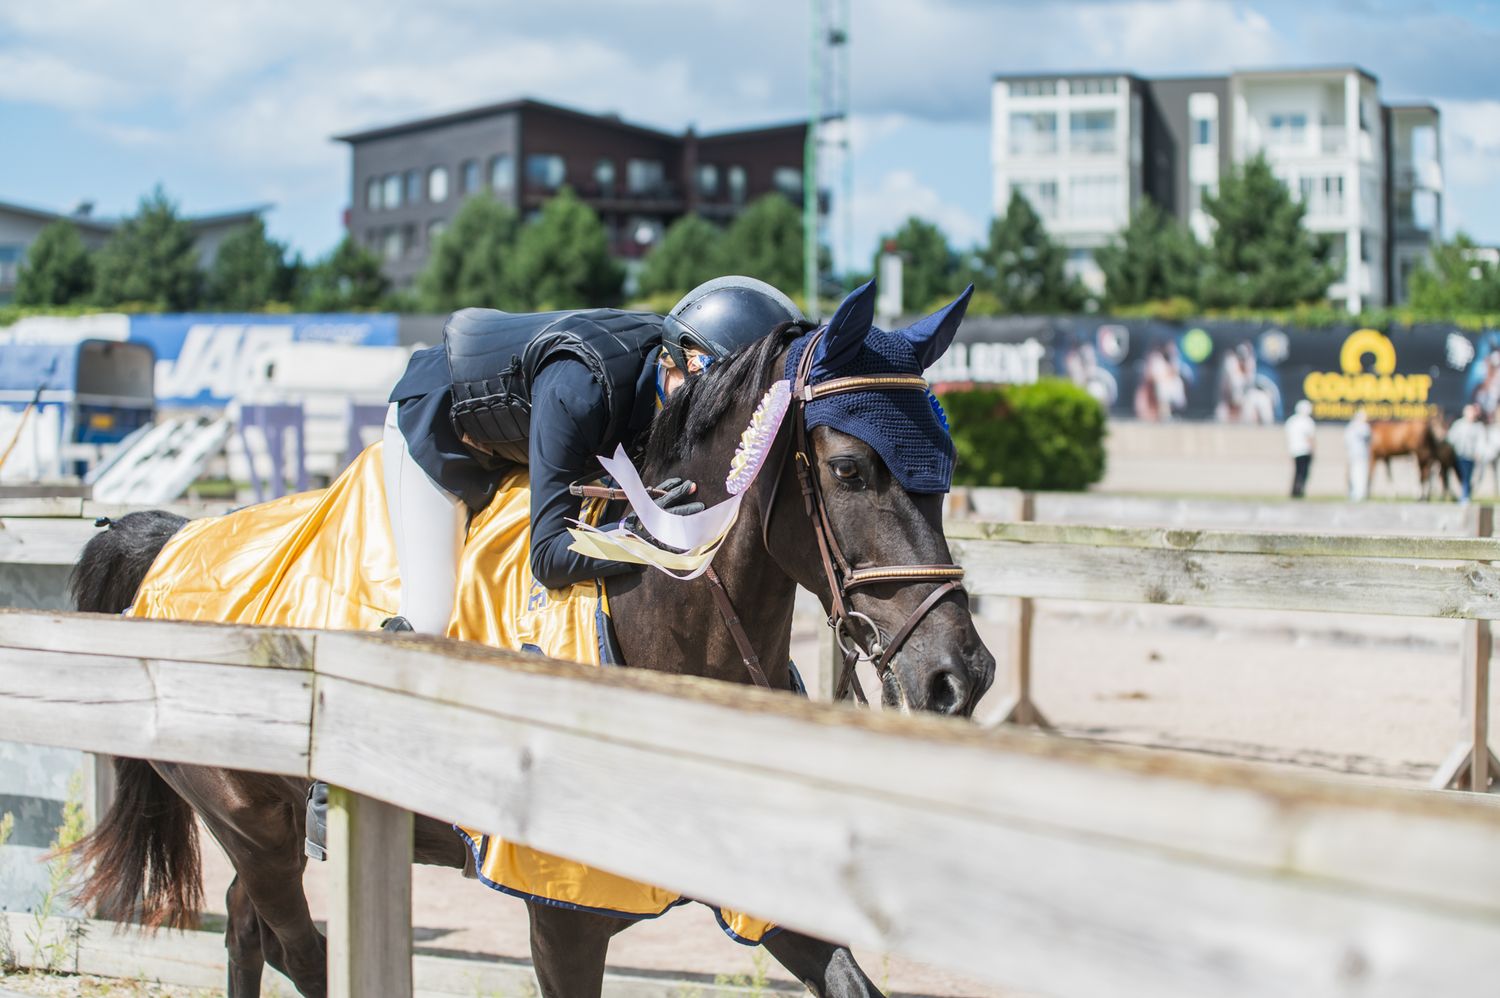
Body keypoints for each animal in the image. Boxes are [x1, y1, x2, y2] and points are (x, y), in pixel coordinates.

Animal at [64, 289, 996, 998]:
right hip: (248, 819)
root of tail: (170, 544)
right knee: (298, 947)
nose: (962, 675)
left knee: (247, 933)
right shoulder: (560, 915)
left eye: (945, 471)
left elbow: (848, 979)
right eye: (849, 470)